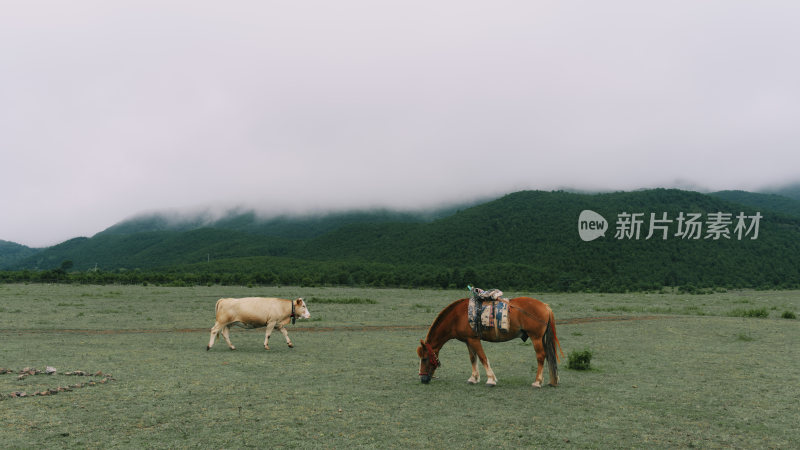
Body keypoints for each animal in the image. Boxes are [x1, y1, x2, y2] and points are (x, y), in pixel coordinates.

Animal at [418, 298, 564, 388]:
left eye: (424, 359)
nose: (423, 379)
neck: (457, 317)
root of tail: (545, 306)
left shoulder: (474, 340)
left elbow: (483, 358)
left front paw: (491, 380)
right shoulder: (468, 340)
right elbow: (473, 359)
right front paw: (473, 378)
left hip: (536, 338)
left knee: (541, 357)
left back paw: (537, 382)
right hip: (542, 339)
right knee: (548, 356)